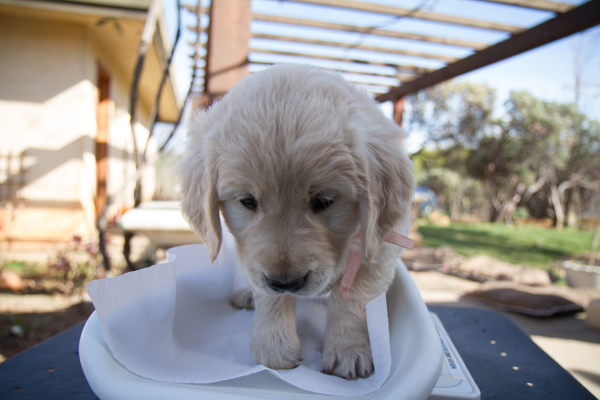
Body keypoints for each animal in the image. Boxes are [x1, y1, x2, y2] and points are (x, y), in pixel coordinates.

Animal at [180, 64, 414, 380]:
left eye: (324, 201)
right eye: (247, 201)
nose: (286, 282)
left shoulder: (380, 248)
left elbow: (353, 301)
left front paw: (348, 351)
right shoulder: (258, 262)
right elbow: (270, 295)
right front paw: (273, 345)